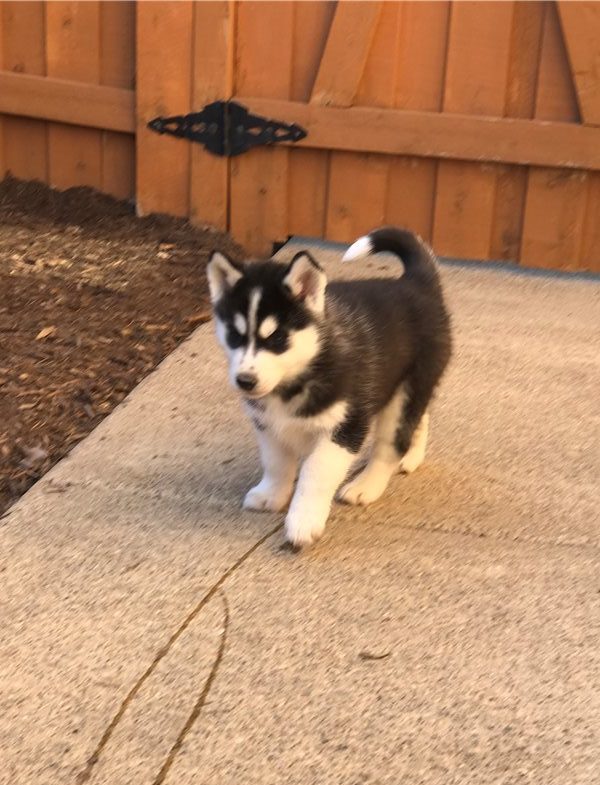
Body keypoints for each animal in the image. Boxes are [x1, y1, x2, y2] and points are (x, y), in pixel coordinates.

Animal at [206, 227, 450, 544]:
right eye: (235, 336)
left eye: (277, 339)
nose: (245, 381)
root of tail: (415, 283)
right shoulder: (267, 424)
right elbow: (276, 460)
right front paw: (272, 494)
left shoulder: (347, 425)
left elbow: (316, 471)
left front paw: (303, 521)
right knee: (421, 415)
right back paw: (412, 457)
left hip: (406, 392)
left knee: (390, 443)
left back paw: (367, 484)